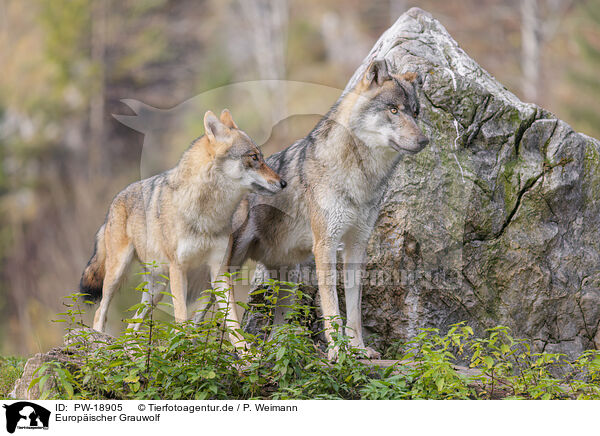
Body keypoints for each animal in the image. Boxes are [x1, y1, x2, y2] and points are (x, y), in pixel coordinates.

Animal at [79, 108, 286, 344]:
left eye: (262, 157)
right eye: (254, 157)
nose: (283, 183)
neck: (207, 214)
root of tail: (114, 202)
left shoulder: (219, 272)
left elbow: (233, 324)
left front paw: (246, 352)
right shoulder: (178, 269)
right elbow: (181, 318)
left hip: (155, 291)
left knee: (132, 326)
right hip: (118, 274)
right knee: (100, 311)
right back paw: (99, 339)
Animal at [224, 60, 426, 362]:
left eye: (415, 112)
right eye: (393, 110)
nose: (424, 140)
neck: (361, 176)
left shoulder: (357, 246)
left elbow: (353, 310)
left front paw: (359, 349)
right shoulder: (326, 244)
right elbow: (332, 307)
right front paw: (337, 352)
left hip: (288, 276)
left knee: (276, 324)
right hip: (230, 260)